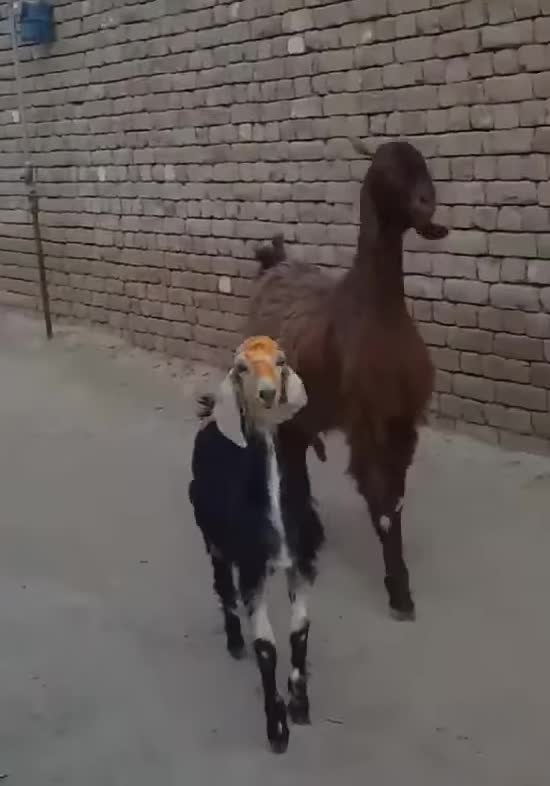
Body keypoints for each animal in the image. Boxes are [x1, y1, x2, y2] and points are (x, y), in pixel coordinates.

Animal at [188, 335, 325, 753]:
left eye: (281, 362)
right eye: (241, 368)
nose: (266, 393)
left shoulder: (301, 563)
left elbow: (299, 632)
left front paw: (300, 704)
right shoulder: (252, 568)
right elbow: (267, 647)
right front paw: (277, 729)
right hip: (212, 535)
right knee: (223, 586)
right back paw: (235, 641)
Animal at [245, 139, 448, 622]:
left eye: (423, 166)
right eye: (387, 170)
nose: (425, 204)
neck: (378, 315)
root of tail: (274, 266)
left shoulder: (401, 421)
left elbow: (394, 501)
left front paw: (400, 586)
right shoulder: (367, 421)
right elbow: (383, 506)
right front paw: (399, 593)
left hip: (304, 409)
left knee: (295, 453)